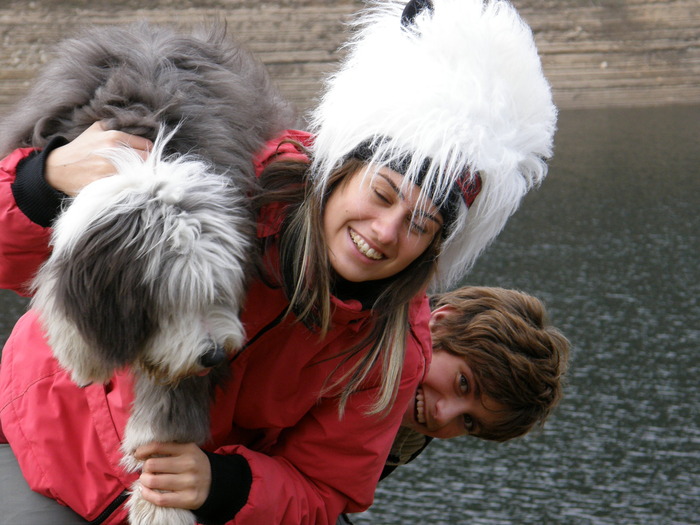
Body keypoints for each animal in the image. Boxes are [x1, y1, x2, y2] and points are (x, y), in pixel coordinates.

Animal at [0, 21, 294, 524]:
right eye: (173, 299)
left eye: (219, 291)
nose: (213, 355)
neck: (146, 160)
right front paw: (79, 354)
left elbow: (169, 408)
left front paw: (161, 505)